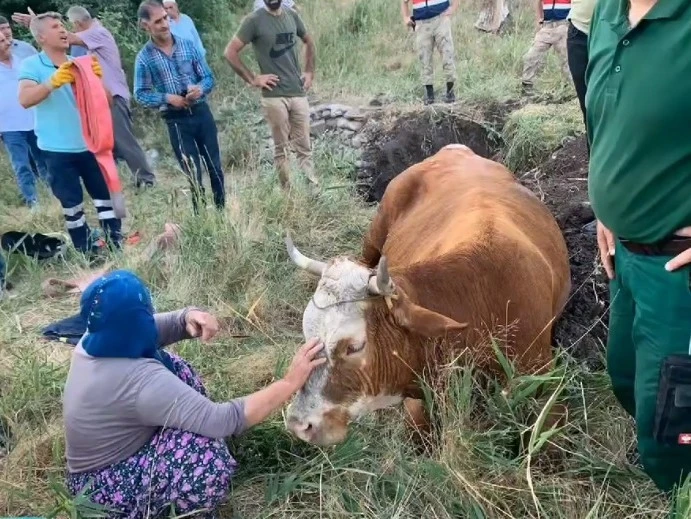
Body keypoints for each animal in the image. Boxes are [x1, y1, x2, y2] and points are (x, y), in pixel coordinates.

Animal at [284, 145, 572, 446]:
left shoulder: (545, 382)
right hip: (375, 233)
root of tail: (454, 149)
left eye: (354, 347)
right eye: (307, 335)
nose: (299, 424)